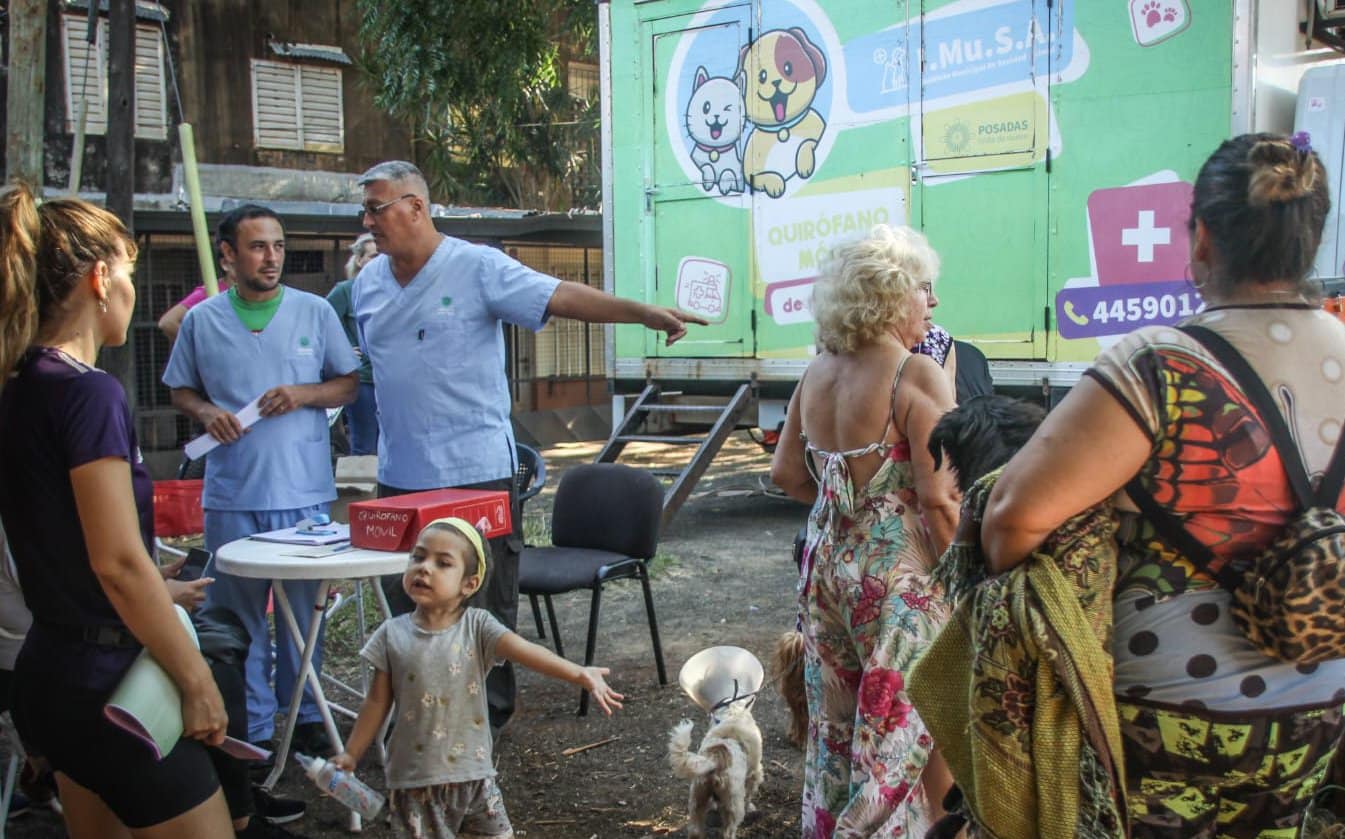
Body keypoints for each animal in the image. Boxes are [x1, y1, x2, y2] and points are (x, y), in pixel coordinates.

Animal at [667, 704, 763, 833]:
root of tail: (715, 758)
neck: (733, 716)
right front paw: (751, 808)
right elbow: (749, 796)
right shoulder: (754, 774)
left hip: (697, 801)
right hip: (733, 807)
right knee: (728, 831)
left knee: (694, 830)